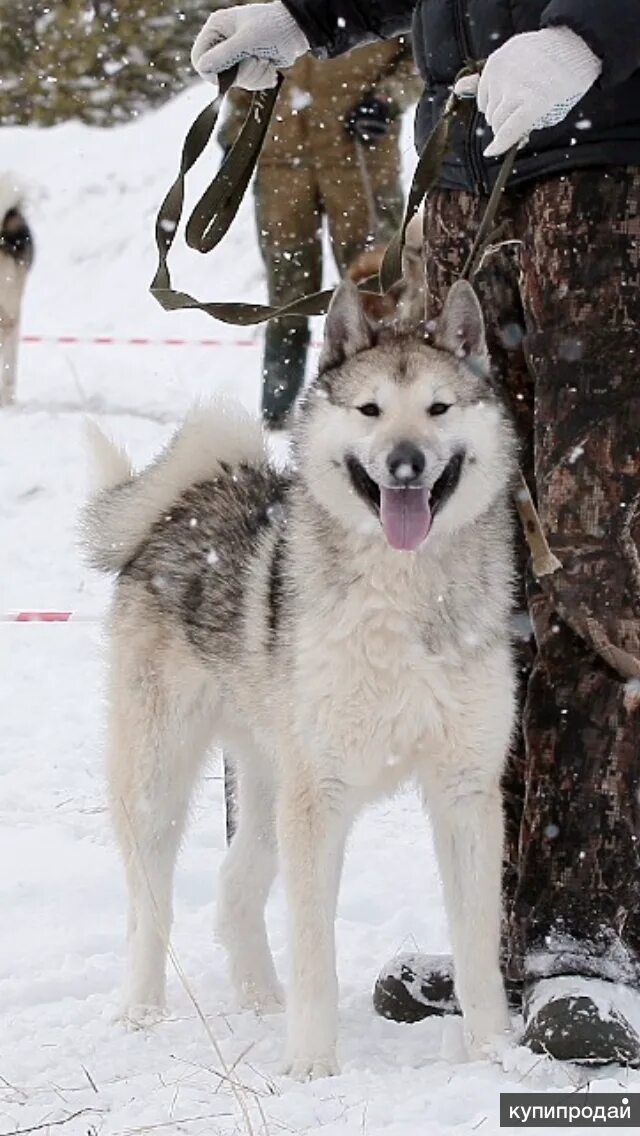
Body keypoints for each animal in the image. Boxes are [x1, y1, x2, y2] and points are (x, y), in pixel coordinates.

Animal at [82, 279, 518, 1076]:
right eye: (370, 409)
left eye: (438, 408)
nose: (405, 463)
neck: (403, 597)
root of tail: (187, 500)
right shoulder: (321, 798)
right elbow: (317, 950)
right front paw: (312, 1066)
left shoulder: (466, 790)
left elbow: (478, 949)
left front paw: (495, 1055)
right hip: (160, 778)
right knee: (149, 906)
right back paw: (141, 1009)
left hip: (267, 782)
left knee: (232, 890)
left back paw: (260, 999)